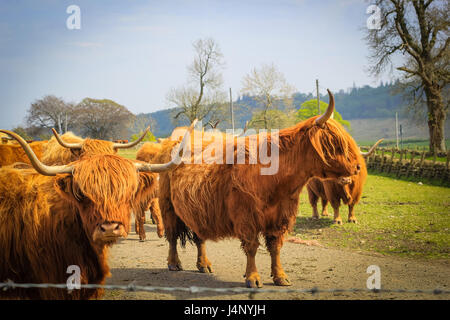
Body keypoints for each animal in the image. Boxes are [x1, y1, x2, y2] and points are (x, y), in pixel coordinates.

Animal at [156, 89, 360, 288]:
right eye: (335, 142)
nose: (357, 166)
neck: (278, 183)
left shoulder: (280, 216)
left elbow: (275, 247)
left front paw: (280, 276)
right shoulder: (246, 216)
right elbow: (252, 247)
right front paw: (252, 277)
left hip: (197, 210)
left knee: (199, 237)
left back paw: (204, 264)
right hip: (168, 206)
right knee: (172, 236)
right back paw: (174, 263)